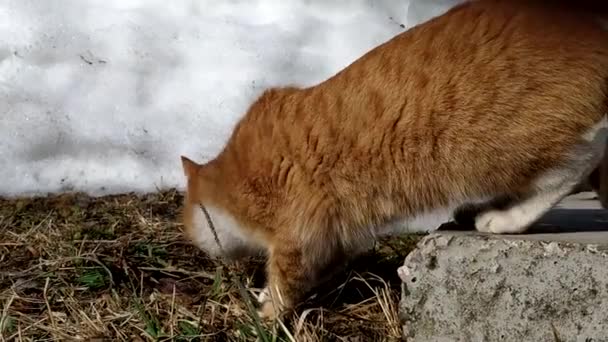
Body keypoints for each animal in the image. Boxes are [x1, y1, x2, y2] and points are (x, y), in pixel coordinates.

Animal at [179, 0, 608, 320]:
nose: (207, 259)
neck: (236, 176)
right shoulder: (336, 235)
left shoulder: (298, 225)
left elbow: (286, 279)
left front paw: (266, 311)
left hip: (501, 149)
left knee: (575, 163)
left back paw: (505, 217)